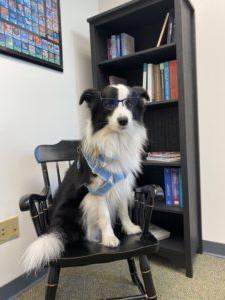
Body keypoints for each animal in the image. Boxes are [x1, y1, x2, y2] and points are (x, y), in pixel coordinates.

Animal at [23, 84, 149, 272]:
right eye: (109, 104)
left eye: (130, 103)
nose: (123, 121)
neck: (116, 139)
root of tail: (54, 229)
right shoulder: (97, 189)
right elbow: (104, 215)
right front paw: (109, 238)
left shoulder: (121, 184)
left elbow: (123, 210)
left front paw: (129, 228)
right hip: (80, 205)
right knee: (86, 233)